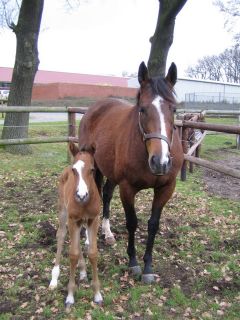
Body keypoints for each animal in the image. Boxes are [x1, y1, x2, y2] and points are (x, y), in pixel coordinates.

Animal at [49, 142, 102, 308]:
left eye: (92, 170)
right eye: (74, 170)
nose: (81, 195)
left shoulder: (93, 220)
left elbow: (92, 253)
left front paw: (97, 294)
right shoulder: (73, 220)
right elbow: (72, 254)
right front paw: (70, 295)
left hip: (79, 222)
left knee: (78, 242)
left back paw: (83, 271)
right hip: (63, 212)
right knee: (61, 236)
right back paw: (54, 278)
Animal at [79, 62, 184, 282]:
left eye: (174, 109)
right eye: (142, 109)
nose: (160, 162)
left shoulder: (166, 188)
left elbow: (153, 224)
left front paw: (148, 266)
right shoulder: (127, 188)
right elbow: (132, 223)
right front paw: (133, 262)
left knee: (106, 194)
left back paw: (108, 233)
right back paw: (88, 238)